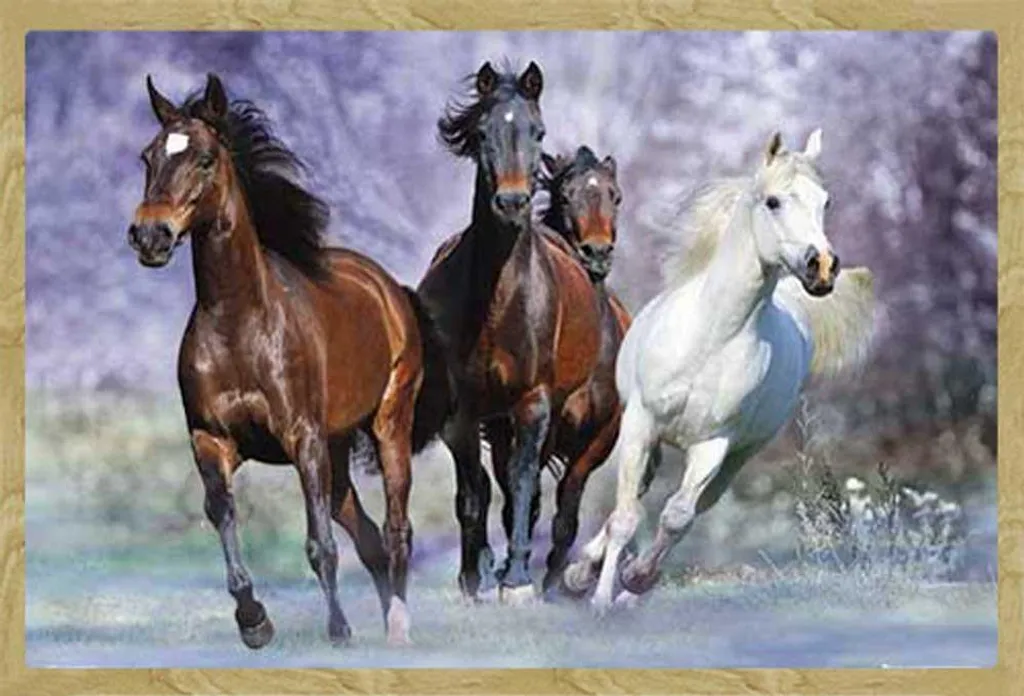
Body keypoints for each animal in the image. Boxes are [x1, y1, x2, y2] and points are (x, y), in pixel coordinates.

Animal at [126, 74, 452, 647]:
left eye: (206, 158)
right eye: (148, 156)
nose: (150, 236)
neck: (239, 325)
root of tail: (390, 290)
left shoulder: (302, 440)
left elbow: (320, 543)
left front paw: (339, 630)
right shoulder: (213, 440)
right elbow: (222, 511)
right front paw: (254, 621)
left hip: (387, 426)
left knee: (396, 530)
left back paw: (398, 627)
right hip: (337, 453)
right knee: (369, 536)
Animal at [416, 61, 612, 602]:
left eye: (538, 131)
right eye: (483, 132)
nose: (511, 202)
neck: (497, 303)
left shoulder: (533, 402)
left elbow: (524, 486)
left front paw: (519, 582)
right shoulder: (462, 413)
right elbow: (472, 494)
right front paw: (472, 578)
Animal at [562, 129, 876, 612]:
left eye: (826, 201)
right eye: (773, 201)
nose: (821, 266)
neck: (711, 337)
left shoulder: (714, 443)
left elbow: (677, 516)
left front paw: (635, 580)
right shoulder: (640, 423)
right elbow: (626, 516)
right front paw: (596, 596)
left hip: (738, 455)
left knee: (694, 506)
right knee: (634, 496)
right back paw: (583, 573)